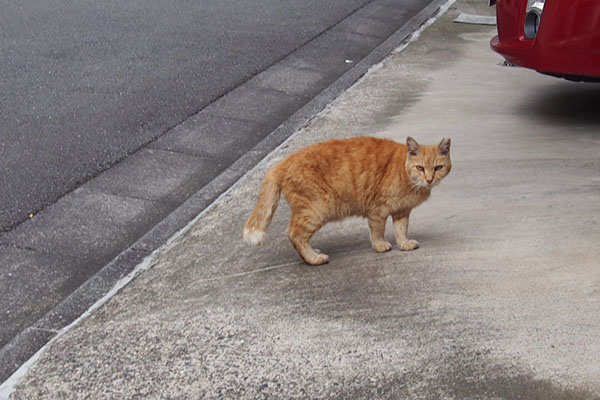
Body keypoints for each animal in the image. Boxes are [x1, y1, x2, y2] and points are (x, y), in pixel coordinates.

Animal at [243, 136, 450, 264]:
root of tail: (281, 164)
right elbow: (378, 231)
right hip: (316, 210)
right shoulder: (378, 210)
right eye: (420, 168)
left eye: (438, 168)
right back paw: (314, 259)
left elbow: (401, 230)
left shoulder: (401, 211)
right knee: (294, 233)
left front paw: (404, 244)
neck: (403, 171)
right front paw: (380, 246)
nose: (429, 179)